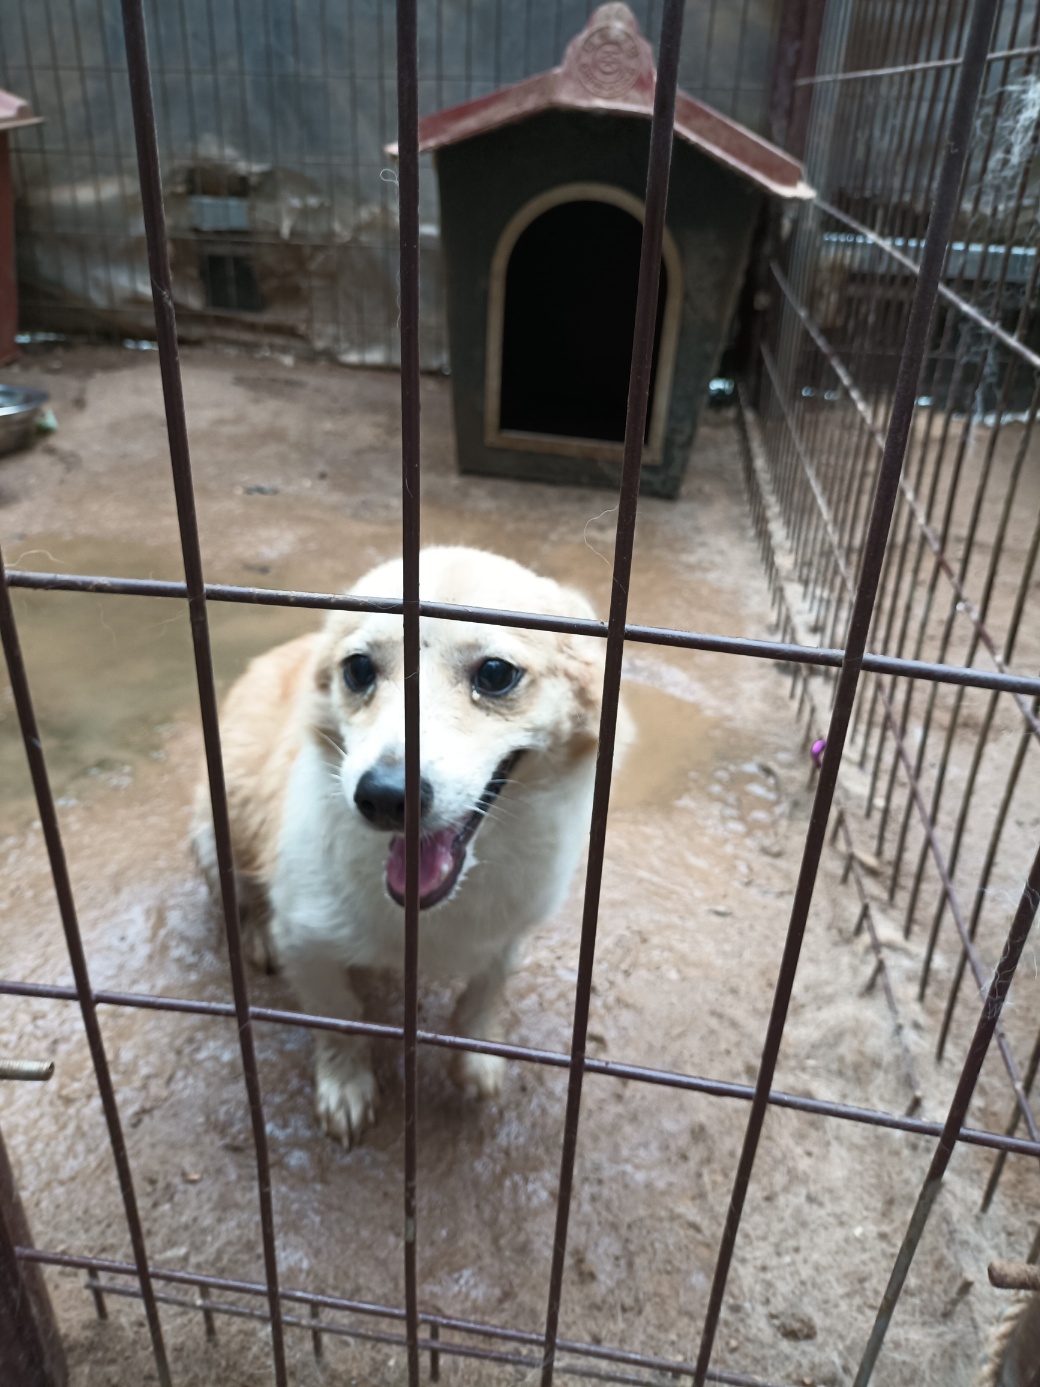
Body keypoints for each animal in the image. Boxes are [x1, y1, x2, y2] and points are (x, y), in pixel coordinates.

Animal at [191, 546, 624, 1142]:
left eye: (495, 673)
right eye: (358, 670)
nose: (384, 797)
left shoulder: (511, 933)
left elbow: (483, 995)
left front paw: (475, 1060)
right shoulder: (307, 942)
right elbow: (339, 1018)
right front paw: (346, 1087)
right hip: (212, 833)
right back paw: (256, 935)